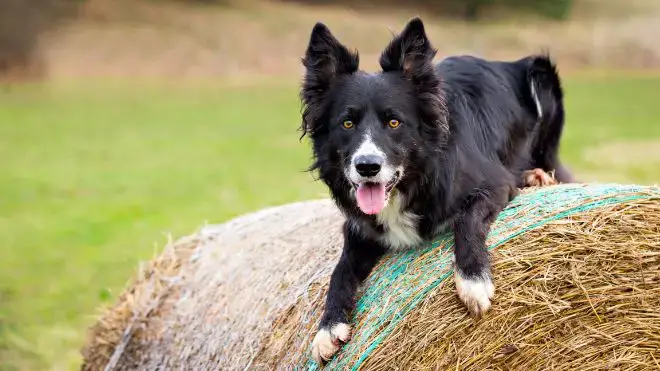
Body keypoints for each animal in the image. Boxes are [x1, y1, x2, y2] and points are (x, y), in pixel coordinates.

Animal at [300, 17, 572, 364]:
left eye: (394, 122)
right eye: (347, 124)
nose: (367, 166)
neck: (416, 178)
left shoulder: (495, 183)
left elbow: (467, 220)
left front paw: (473, 281)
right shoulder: (360, 227)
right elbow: (340, 270)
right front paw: (328, 326)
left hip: (541, 74)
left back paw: (536, 175)